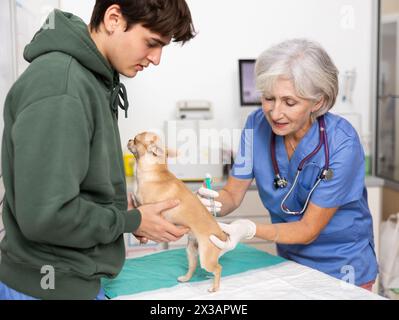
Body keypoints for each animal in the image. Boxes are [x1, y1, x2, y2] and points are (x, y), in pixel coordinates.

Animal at [128, 131, 228, 292]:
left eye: (136, 140)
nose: (129, 140)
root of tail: (221, 235)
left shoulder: (151, 207)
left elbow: (142, 208)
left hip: (206, 256)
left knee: (218, 268)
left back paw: (214, 288)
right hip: (191, 251)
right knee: (193, 267)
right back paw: (185, 278)